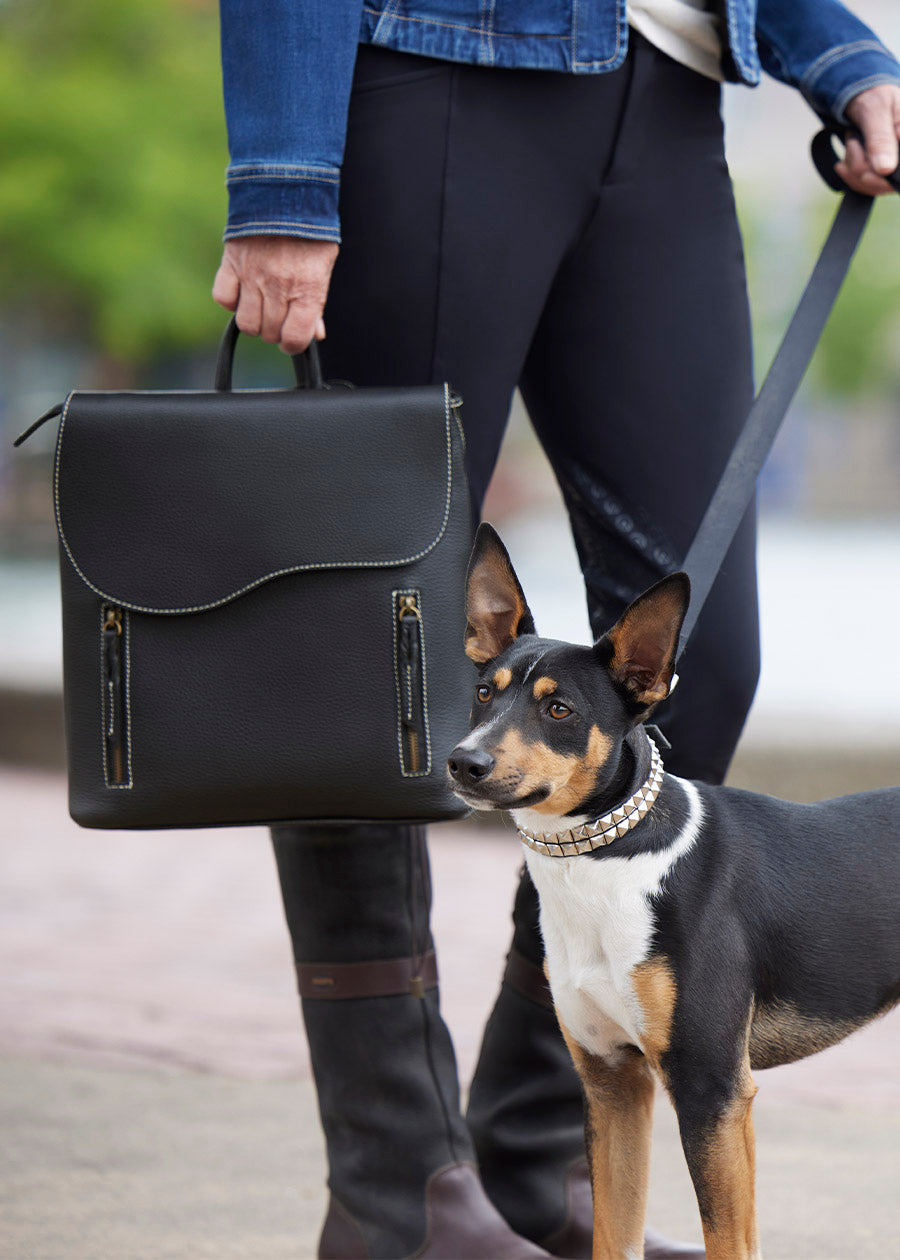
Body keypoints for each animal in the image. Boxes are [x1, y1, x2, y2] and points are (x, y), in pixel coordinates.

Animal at [446, 516, 892, 1254]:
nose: (464, 762)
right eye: (485, 693)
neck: (605, 863)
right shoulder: (613, 1082)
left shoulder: (711, 1089)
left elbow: (728, 1241)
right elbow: (612, 1235)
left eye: (559, 709)